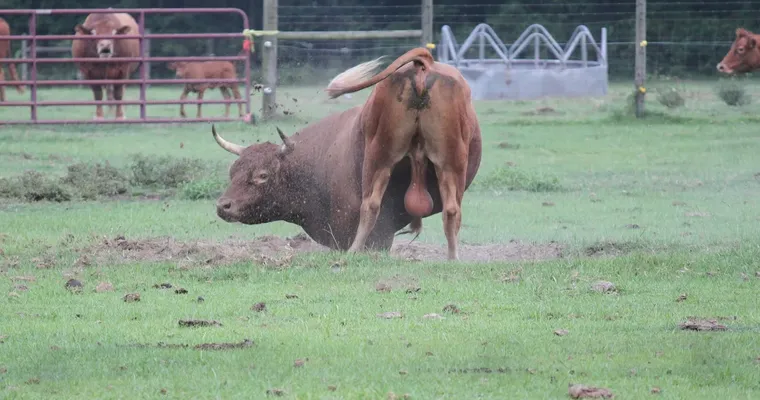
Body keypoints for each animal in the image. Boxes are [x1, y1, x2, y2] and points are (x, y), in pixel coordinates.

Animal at [211, 47, 482, 260]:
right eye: (233, 172)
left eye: (262, 175)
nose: (223, 205)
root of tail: (423, 67)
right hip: (428, 161)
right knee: (444, 209)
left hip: (391, 159)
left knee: (381, 206)